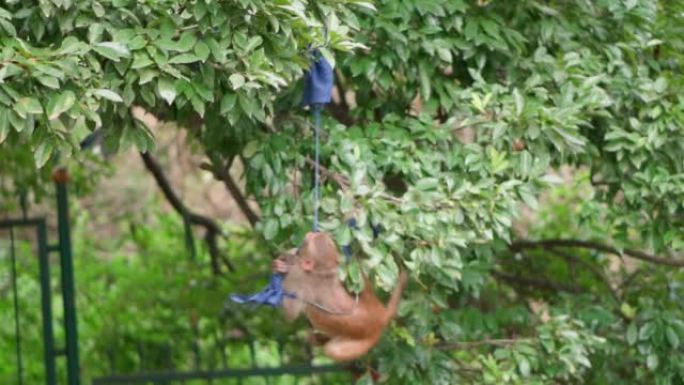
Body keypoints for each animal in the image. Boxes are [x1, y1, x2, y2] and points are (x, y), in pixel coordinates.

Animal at [272, 231, 408, 360]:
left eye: (310, 239)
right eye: (313, 236)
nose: (311, 233)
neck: (322, 271)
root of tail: (381, 316)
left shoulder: (297, 278)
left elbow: (290, 312)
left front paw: (282, 265)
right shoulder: (340, 267)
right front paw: (283, 260)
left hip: (369, 338)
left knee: (333, 350)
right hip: (370, 301)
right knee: (362, 283)